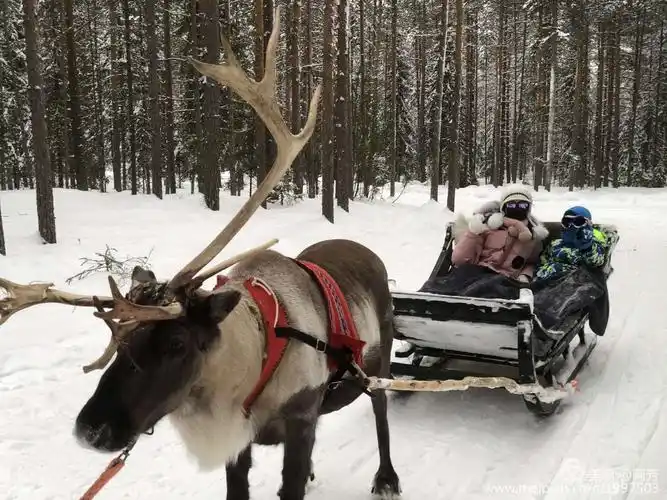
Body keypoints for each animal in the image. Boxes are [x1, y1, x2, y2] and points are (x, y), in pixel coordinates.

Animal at [0, 7, 401, 500]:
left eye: (176, 342)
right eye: (117, 341)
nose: (91, 430)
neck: (254, 363)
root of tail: (364, 251)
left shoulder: (299, 420)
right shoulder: (239, 444)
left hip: (380, 359)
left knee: (381, 410)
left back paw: (386, 477)